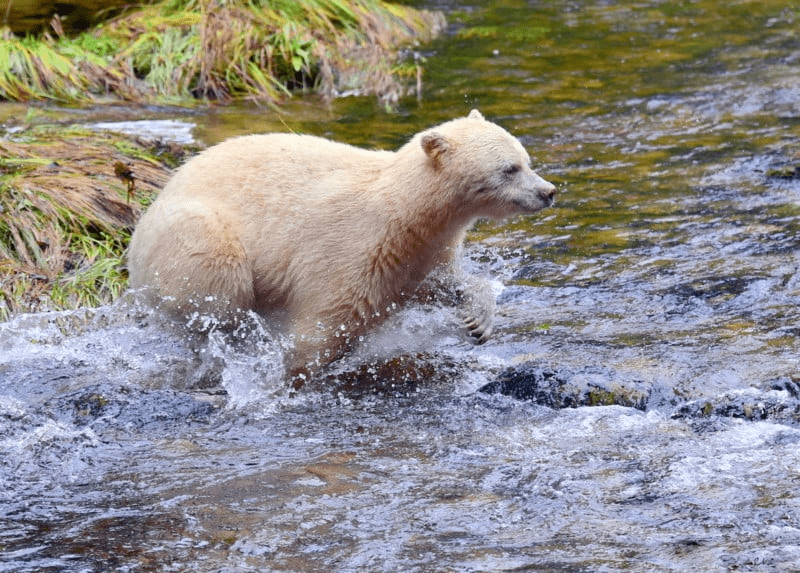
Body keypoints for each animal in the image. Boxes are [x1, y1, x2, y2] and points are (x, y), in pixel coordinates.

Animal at [126, 111, 556, 380]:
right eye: (509, 168)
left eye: (526, 159)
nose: (548, 192)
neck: (405, 210)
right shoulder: (354, 246)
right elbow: (326, 322)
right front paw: (293, 374)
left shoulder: (420, 251)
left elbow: (442, 281)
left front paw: (478, 321)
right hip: (193, 238)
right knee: (218, 289)